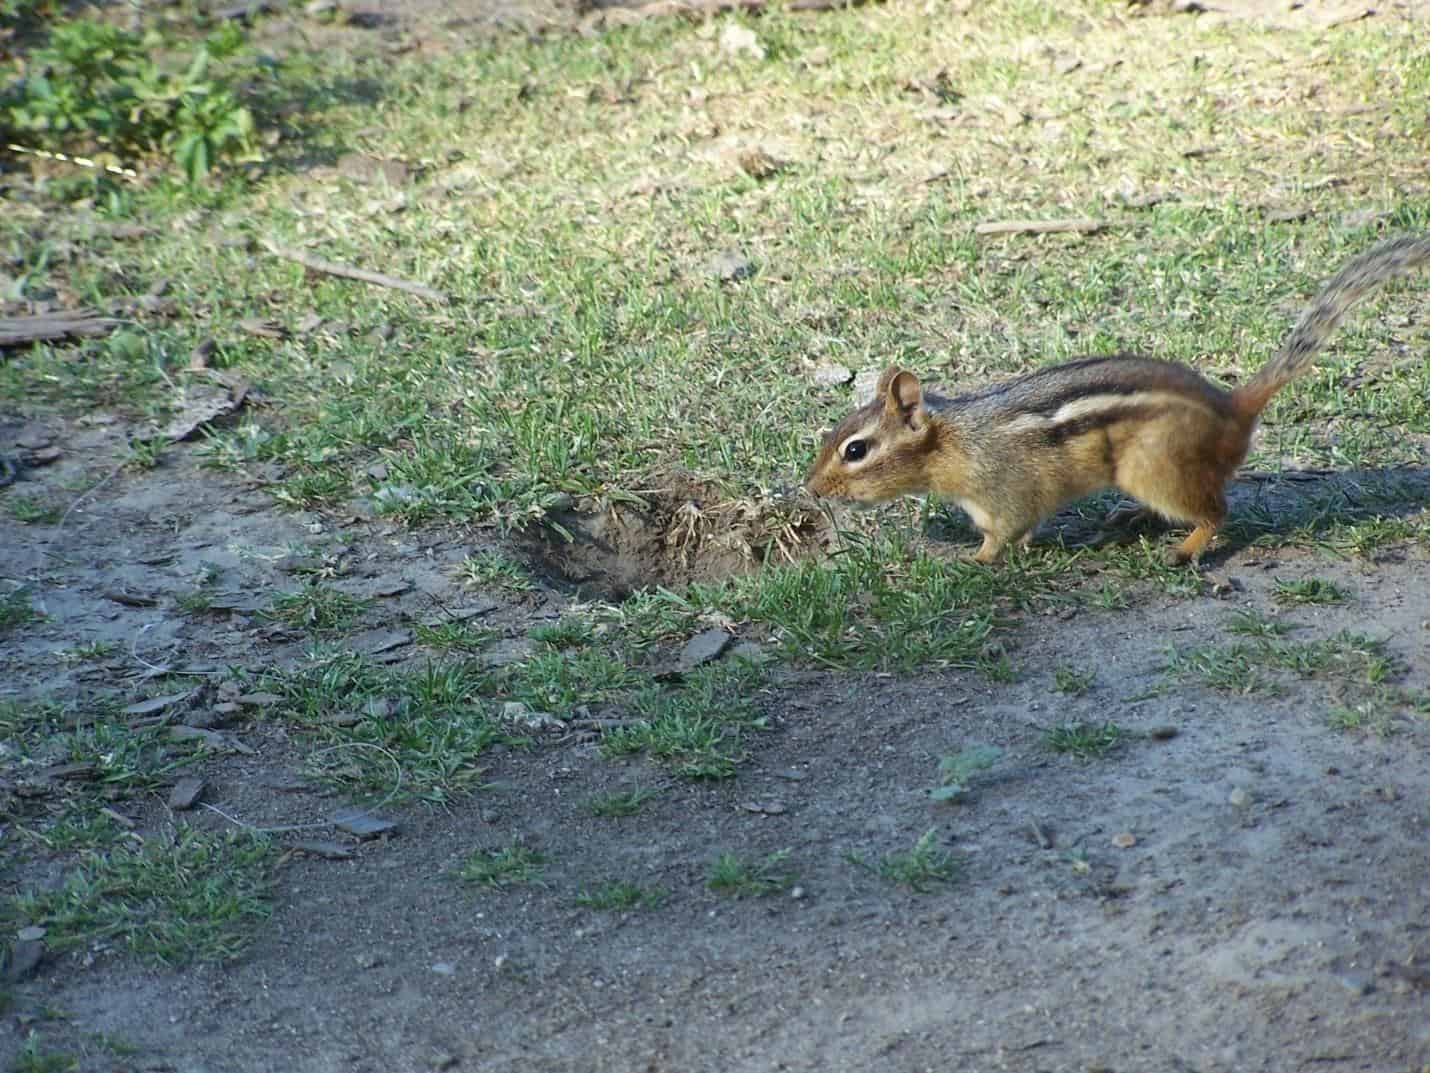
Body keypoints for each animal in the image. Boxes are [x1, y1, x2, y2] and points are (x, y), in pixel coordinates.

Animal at [805, 234, 1430, 564]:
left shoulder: (1002, 493)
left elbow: (1002, 533)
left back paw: (1184, 548)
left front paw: (974, 559)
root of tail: (1234, 407)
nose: (811, 489)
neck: (955, 440)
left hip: (1154, 467)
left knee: (1217, 512)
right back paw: (1131, 518)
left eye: (856, 450)